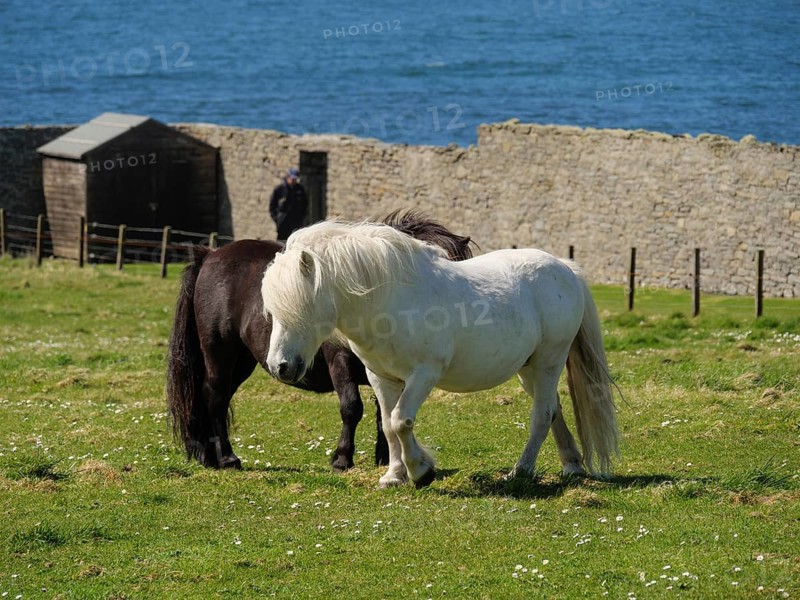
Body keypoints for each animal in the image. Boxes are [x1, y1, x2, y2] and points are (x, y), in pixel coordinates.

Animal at [166, 211, 473, 471]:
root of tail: (210, 256)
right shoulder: (340, 363)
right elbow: (352, 407)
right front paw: (342, 458)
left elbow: (383, 412)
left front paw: (386, 458)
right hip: (220, 354)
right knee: (215, 397)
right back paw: (227, 458)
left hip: (242, 362)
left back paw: (208, 455)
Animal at [262, 220, 619, 488]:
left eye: (303, 306)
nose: (280, 367)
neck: (390, 301)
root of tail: (566, 268)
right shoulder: (381, 377)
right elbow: (389, 426)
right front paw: (394, 476)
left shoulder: (423, 374)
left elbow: (401, 420)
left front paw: (421, 471)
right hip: (528, 369)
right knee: (554, 409)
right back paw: (572, 465)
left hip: (548, 362)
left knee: (542, 414)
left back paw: (521, 470)